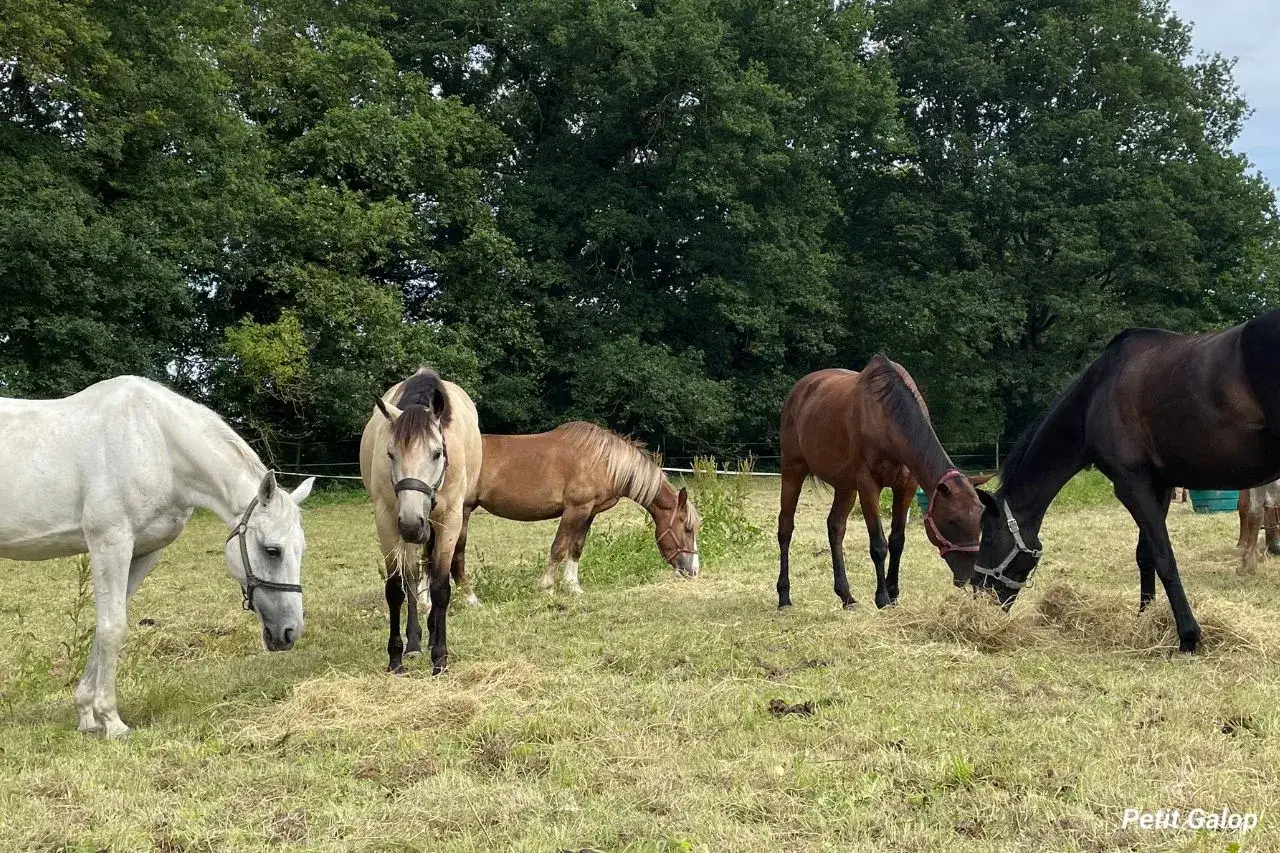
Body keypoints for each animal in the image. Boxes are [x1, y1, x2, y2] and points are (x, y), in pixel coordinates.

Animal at [0, 376, 315, 737]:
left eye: (301, 550)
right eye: (272, 550)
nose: (290, 632)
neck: (157, 442)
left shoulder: (143, 552)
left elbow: (106, 626)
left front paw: (87, 715)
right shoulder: (110, 543)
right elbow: (112, 627)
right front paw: (111, 720)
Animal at [359, 368, 481, 675]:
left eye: (437, 453)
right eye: (391, 454)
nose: (412, 523)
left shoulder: (450, 521)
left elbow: (440, 588)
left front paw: (440, 657)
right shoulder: (388, 521)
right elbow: (396, 587)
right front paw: (395, 657)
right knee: (413, 575)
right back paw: (414, 641)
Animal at [447, 422, 700, 602]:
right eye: (687, 528)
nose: (694, 570)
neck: (604, 461)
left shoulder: (589, 512)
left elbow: (576, 548)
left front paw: (573, 586)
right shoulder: (575, 509)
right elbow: (559, 548)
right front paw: (547, 588)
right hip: (461, 511)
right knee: (453, 553)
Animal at [776, 355, 991, 610]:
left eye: (980, 519)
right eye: (951, 520)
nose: (969, 577)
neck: (885, 416)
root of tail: (797, 391)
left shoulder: (905, 487)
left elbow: (897, 540)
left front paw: (894, 592)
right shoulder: (868, 485)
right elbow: (878, 544)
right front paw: (883, 598)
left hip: (845, 486)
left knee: (835, 527)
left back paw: (846, 596)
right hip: (793, 470)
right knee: (785, 528)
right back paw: (784, 597)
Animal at [970, 309, 1280, 652]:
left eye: (987, 535)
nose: (977, 590)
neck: (1094, 397)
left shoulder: (1131, 485)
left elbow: (1164, 557)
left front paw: (1188, 637)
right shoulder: (1158, 486)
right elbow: (1145, 554)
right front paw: (1145, 617)